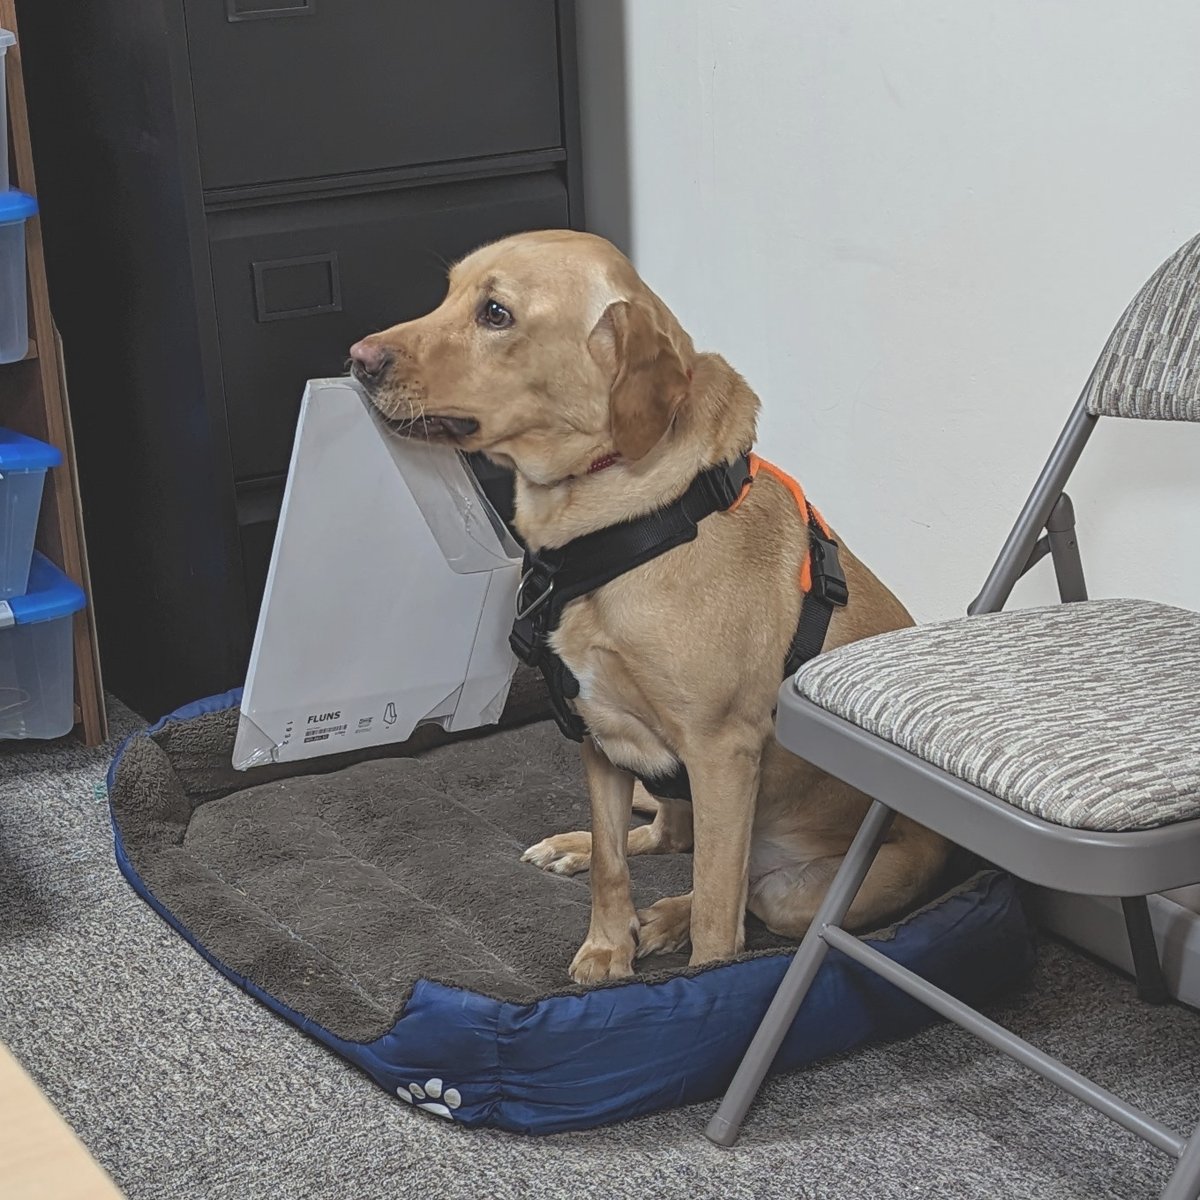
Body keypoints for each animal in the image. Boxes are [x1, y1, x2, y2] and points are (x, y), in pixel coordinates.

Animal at [348, 231, 945, 984]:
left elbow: (720, 915)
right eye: (448, 294)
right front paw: (607, 946)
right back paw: (591, 861)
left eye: (496, 314)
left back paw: (669, 918)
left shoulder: (723, 754)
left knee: (743, 887)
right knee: (667, 836)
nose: (358, 358)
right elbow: (612, 863)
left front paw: (704, 983)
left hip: (804, 890)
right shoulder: (598, 733)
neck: (606, 530)